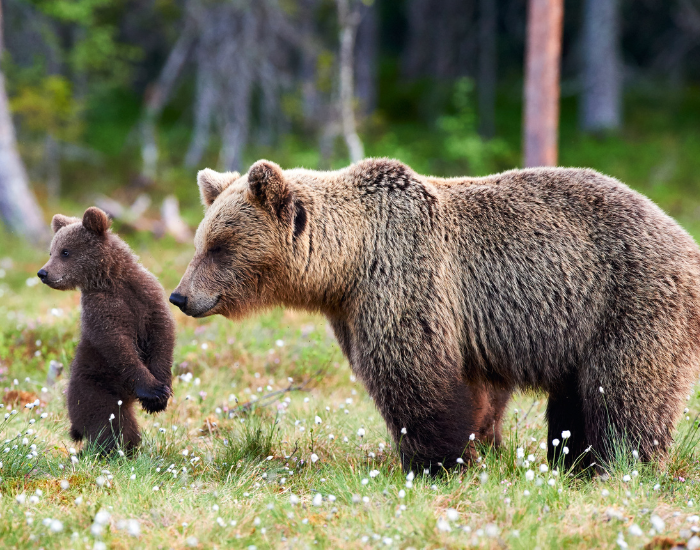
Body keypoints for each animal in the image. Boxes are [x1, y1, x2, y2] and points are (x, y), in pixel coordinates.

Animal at [38, 207, 175, 453]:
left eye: (65, 252)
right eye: (51, 251)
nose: (43, 273)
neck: (112, 279)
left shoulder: (147, 296)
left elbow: (162, 334)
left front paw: (162, 393)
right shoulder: (102, 310)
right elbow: (117, 345)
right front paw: (154, 391)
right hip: (95, 389)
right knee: (113, 425)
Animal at [170, 159, 700, 474]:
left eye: (220, 246)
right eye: (201, 241)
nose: (180, 295)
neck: (348, 264)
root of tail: (685, 239)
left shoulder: (405, 281)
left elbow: (415, 376)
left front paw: (436, 461)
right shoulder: (362, 310)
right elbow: (479, 393)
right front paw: (482, 447)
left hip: (630, 303)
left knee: (625, 391)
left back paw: (620, 463)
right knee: (576, 397)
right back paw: (573, 460)